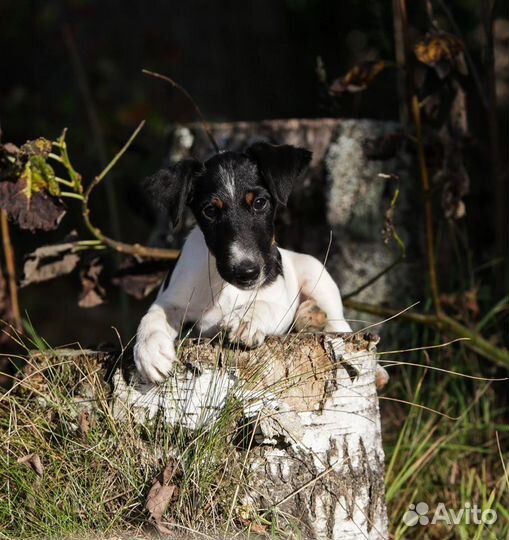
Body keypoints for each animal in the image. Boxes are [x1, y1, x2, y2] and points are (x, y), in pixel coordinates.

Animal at [133, 141, 352, 382]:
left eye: (259, 202)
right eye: (210, 210)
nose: (246, 273)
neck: (224, 286)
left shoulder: (281, 301)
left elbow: (264, 304)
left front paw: (246, 318)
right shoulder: (173, 300)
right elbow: (153, 316)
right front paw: (150, 350)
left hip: (316, 275)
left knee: (338, 322)